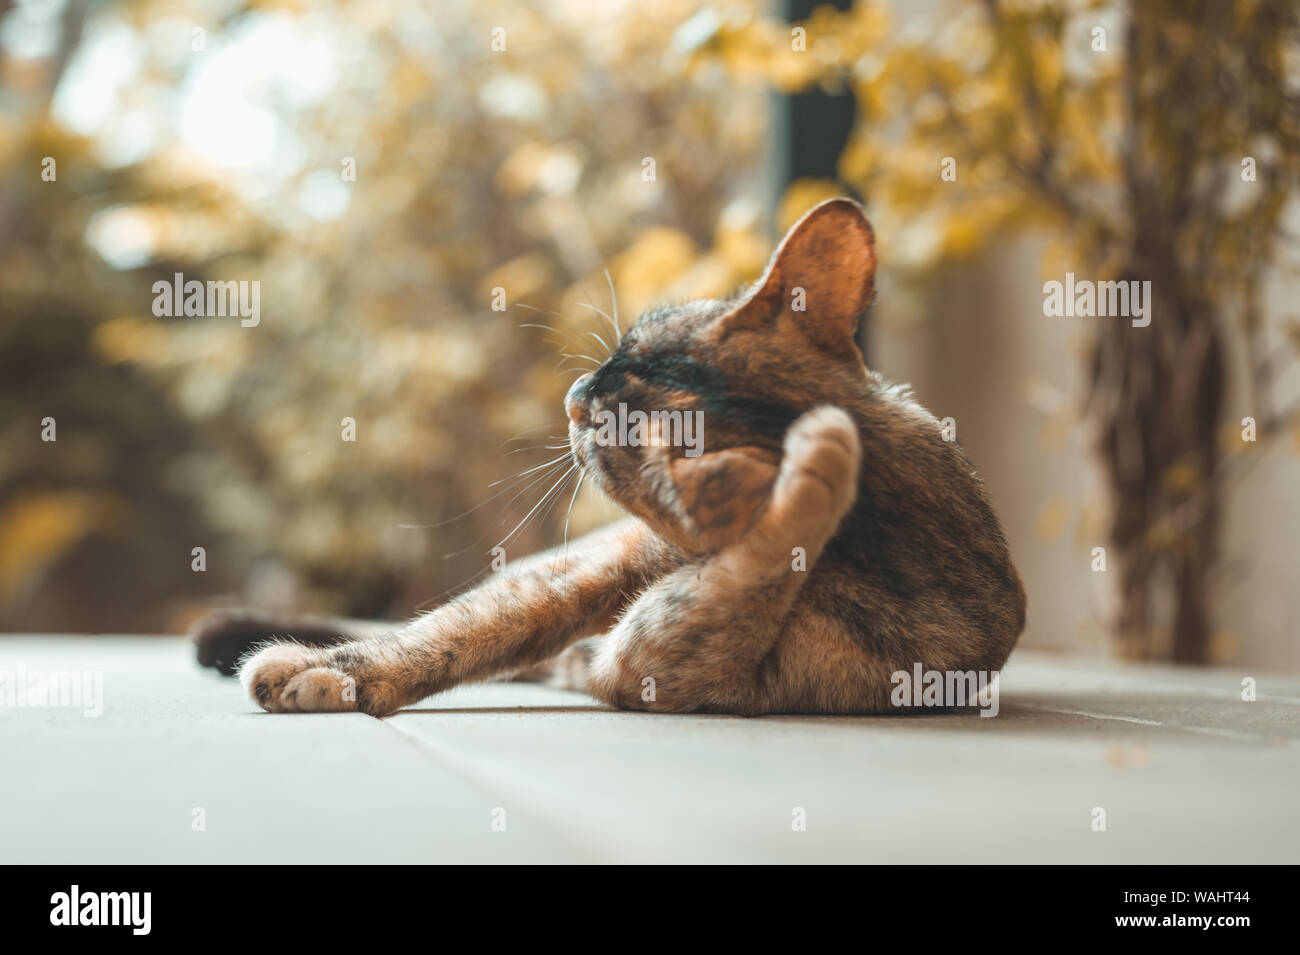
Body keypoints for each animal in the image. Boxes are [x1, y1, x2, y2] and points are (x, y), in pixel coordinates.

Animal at [192, 200, 1024, 717]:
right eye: (621, 351)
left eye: (600, 422)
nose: (569, 395)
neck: (878, 533)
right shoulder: (601, 574)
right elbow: (451, 632)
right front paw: (326, 667)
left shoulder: (659, 659)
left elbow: (752, 567)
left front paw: (814, 474)